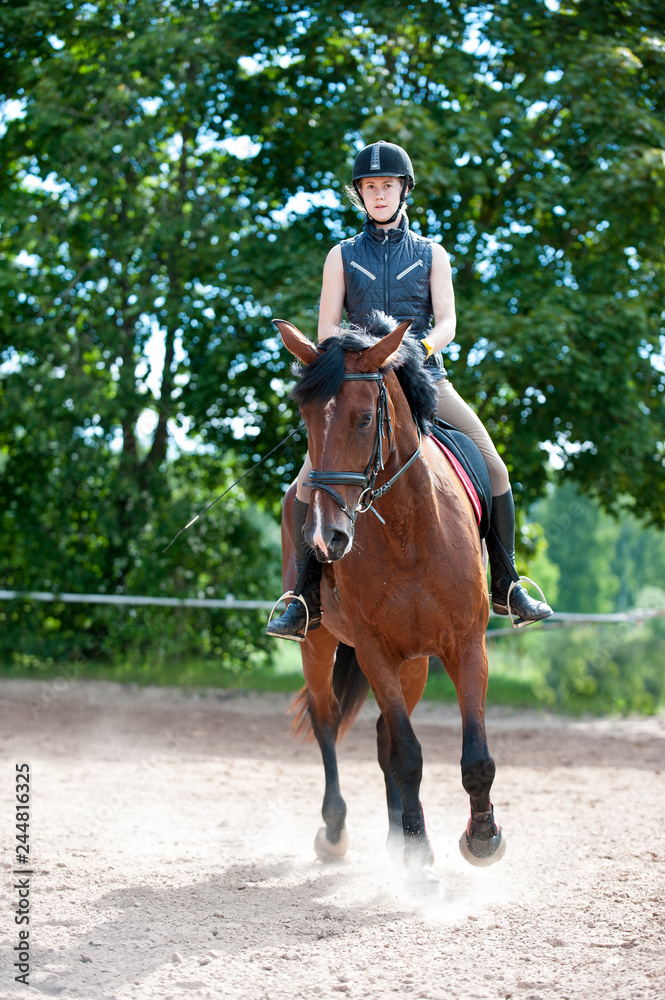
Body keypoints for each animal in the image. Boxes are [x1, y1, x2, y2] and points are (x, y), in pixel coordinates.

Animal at [273, 313, 505, 888]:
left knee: (379, 733)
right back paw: (336, 832)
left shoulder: (465, 645)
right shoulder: (375, 651)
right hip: (319, 642)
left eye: (362, 420)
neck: (407, 528)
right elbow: (407, 755)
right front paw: (422, 859)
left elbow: (474, 757)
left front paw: (482, 839)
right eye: (306, 418)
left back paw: (396, 835)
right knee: (327, 720)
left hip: (415, 661)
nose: (326, 539)